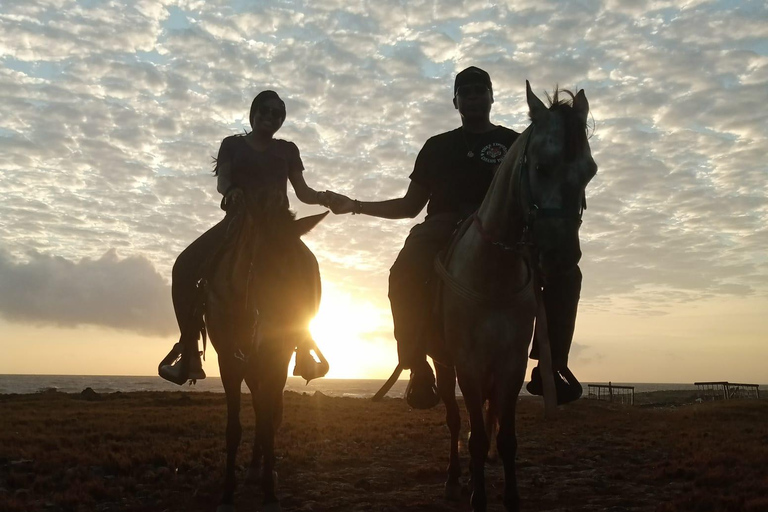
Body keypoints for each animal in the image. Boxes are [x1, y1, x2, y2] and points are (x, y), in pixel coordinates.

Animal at [204, 189, 328, 512]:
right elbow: (234, 428)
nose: (288, 326)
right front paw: (227, 493)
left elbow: (268, 420)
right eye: (263, 265)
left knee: (266, 414)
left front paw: (270, 494)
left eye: (304, 272)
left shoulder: (276, 360)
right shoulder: (229, 362)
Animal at [436, 83, 596, 512]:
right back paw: (454, 479)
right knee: (454, 420)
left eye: (590, 171)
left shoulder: (510, 364)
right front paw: (477, 496)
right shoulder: (468, 365)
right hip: (444, 362)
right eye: (540, 167)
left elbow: (506, 437)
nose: (561, 257)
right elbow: (473, 434)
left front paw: (509, 497)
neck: (493, 274)